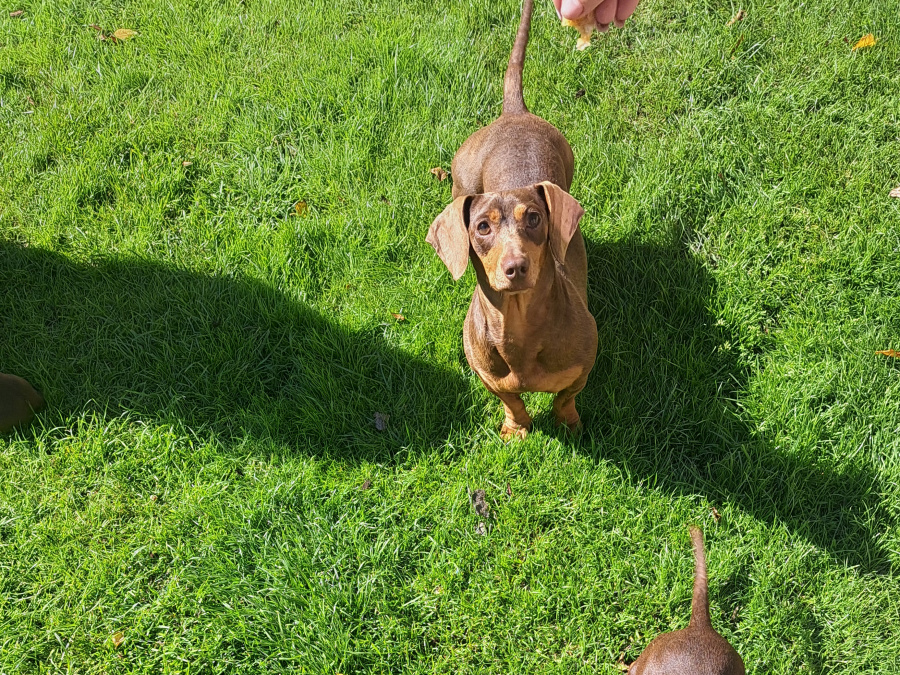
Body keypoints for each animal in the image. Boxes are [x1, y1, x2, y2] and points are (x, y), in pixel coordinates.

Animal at [428, 0, 596, 440]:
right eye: (482, 227)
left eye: (534, 218)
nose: (515, 267)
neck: (518, 329)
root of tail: (513, 113)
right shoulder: (485, 375)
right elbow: (512, 400)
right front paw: (517, 428)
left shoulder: (585, 364)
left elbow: (565, 397)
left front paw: (568, 423)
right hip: (460, 179)